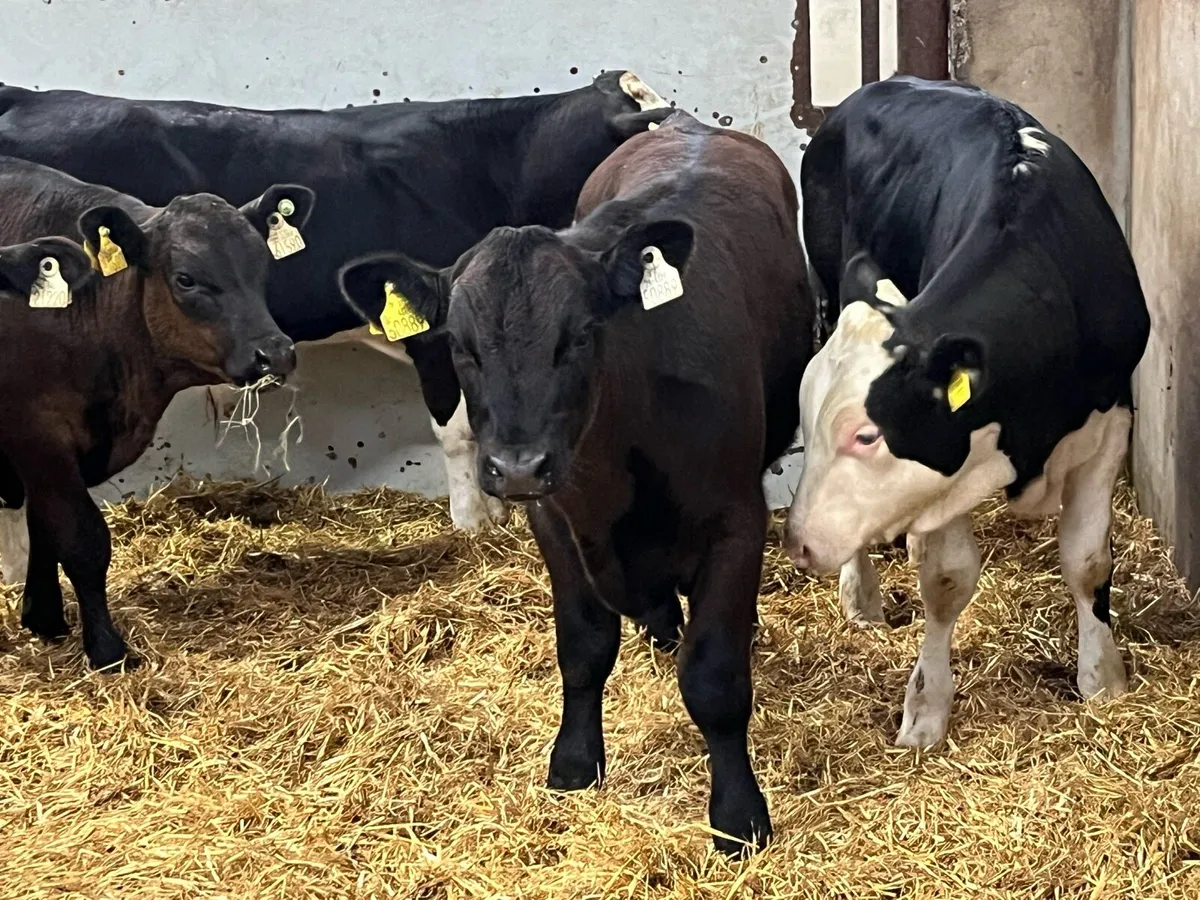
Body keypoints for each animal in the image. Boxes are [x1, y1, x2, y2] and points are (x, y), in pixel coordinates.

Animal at [0, 156, 313, 670]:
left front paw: (45, 618)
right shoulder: (39, 436)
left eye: (262, 268)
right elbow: (81, 538)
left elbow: (46, 530)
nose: (276, 353)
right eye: (186, 278)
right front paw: (106, 648)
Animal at [337, 110, 811, 854]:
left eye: (581, 335)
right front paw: (574, 764)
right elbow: (584, 648)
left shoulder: (737, 519)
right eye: (461, 346)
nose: (518, 466)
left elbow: (714, 677)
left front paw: (738, 816)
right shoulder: (555, 520)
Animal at [785, 75, 1150, 749]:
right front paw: (926, 708)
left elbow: (1087, 560)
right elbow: (947, 580)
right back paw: (861, 593)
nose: (796, 542)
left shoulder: (1111, 420)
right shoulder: (949, 472)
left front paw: (1103, 678)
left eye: (867, 435)